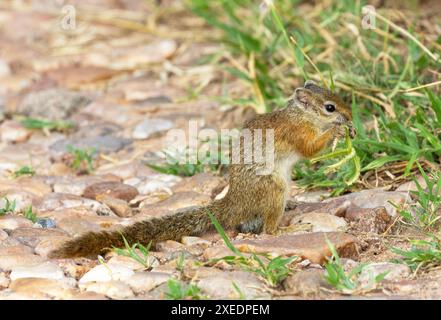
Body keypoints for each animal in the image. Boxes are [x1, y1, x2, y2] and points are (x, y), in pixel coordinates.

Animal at [48, 81, 354, 258]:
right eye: (330, 107)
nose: (351, 116)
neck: (300, 115)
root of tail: (234, 203)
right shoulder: (297, 134)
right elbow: (311, 150)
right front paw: (338, 131)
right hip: (274, 189)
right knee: (267, 230)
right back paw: (288, 229)